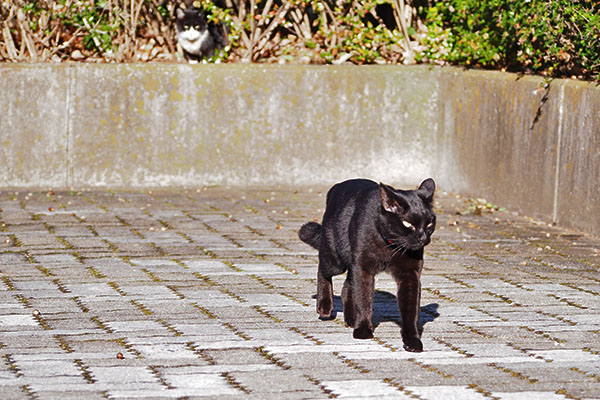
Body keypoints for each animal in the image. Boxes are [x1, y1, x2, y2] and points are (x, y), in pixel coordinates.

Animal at [300, 178, 436, 350]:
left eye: (429, 224)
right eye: (407, 224)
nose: (423, 238)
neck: (391, 246)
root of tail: (337, 186)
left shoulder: (410, 274)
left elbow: (411, 311)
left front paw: (412, 340)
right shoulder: (363, 269)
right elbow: (363, 299)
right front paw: (363, 330)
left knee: (347, 286)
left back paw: (351, 319)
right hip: (335, 259)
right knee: (322, 270)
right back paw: (324, 307)